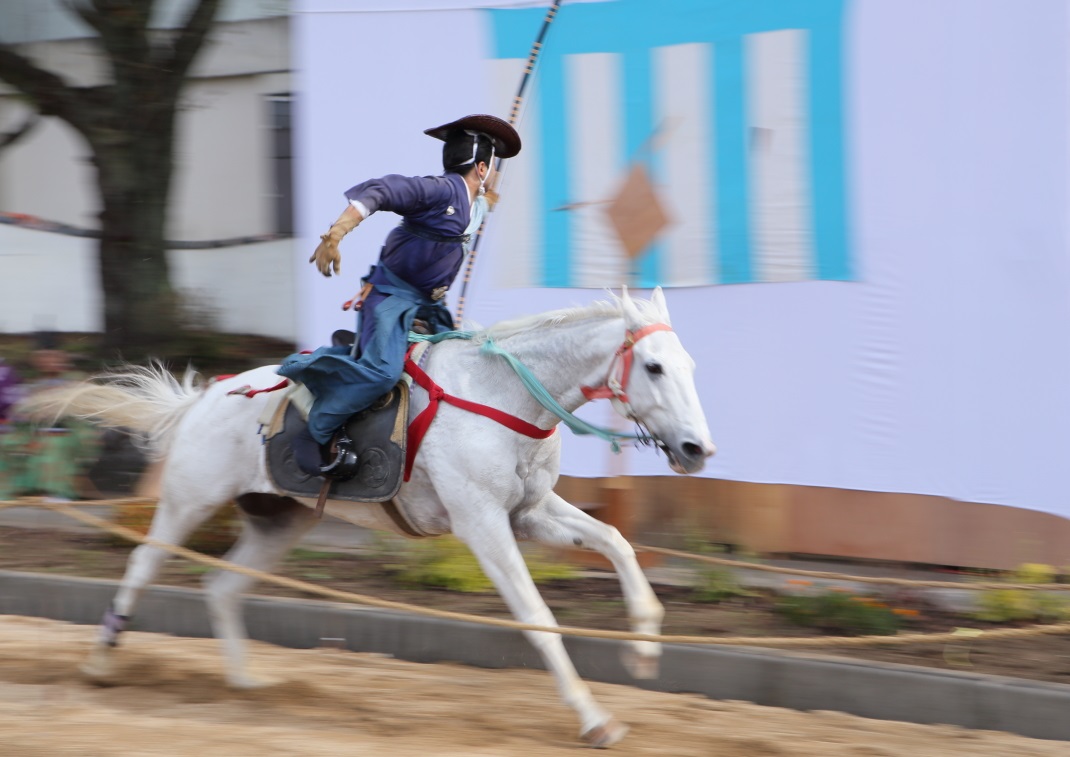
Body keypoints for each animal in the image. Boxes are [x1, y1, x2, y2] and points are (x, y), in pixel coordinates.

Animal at [20, 286, 710, 749]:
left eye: (689, 366)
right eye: (653, 366)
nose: (698, 449)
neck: (501, 395)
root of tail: (202, 399)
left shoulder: (530, 512)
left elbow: (616, 540)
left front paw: (644, 649)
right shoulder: (482, 524)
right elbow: (538, 618)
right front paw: (596, 719)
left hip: (280, 519)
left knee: (222, 587)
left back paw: (246, 684)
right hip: (190, 500)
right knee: (143, 563)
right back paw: (100, 663)